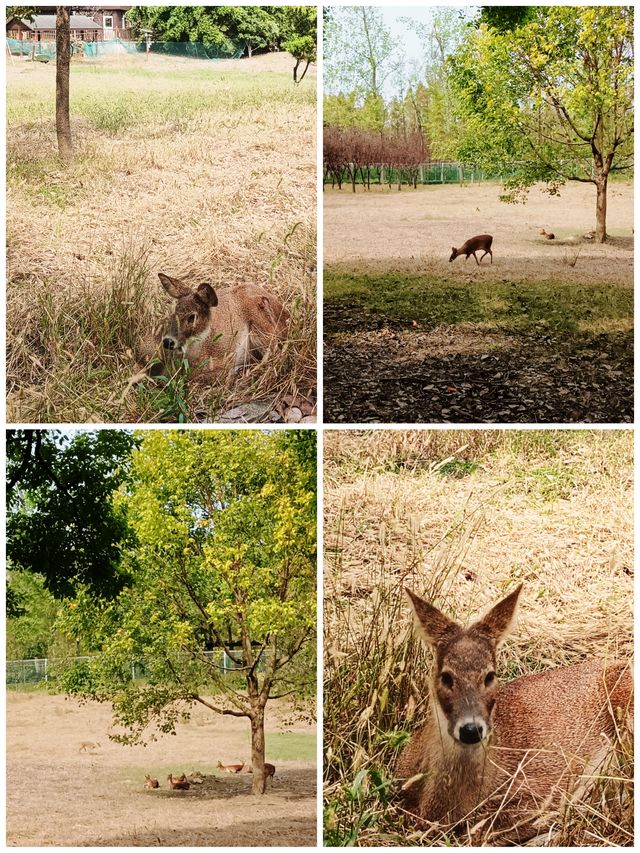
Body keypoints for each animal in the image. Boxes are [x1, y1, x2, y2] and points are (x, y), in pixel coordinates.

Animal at [142, 272, 290, 382]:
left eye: (192, 316)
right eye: (175, 311)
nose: (168, 341)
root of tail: (286, 313)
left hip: (261, 327)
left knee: (274, 355)